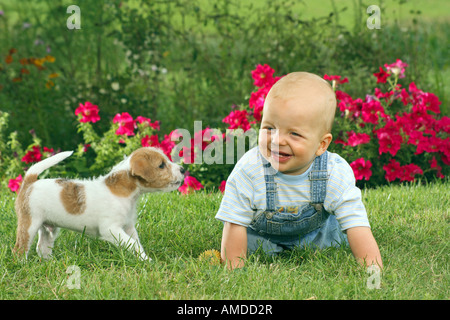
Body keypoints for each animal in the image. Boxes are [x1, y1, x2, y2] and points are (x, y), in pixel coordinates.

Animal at [13, 147, 185, 260]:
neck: (126, 191)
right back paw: (22, 264)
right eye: (161, 165)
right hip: (30, 223)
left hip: (49, 229)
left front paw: (144, 259)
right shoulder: (111, 229)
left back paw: (49, 262)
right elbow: (131, 243)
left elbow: (137, 244)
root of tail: (30, 182)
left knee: (42, 247)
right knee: (20, 248)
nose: (183, 169)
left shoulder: (129, 227)